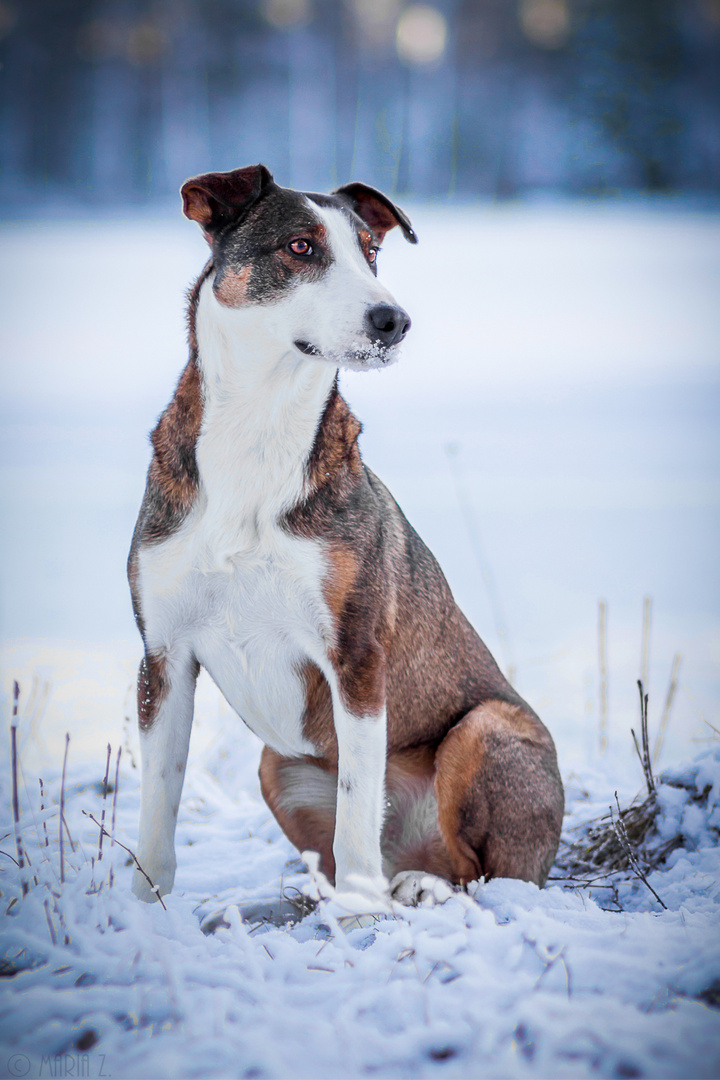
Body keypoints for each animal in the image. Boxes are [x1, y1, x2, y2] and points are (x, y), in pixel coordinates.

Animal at [131, 164, 569, 907]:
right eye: (301, 247)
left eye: (372, 255)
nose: (393, 320)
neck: (257, 434)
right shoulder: (163, 658)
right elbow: (157, 811)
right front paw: (138, 913)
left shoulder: (357, 657)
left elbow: (358, 805)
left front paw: (362, 918)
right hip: (277, 765)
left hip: (486, 732)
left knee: (480, 875)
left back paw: (418, 890)